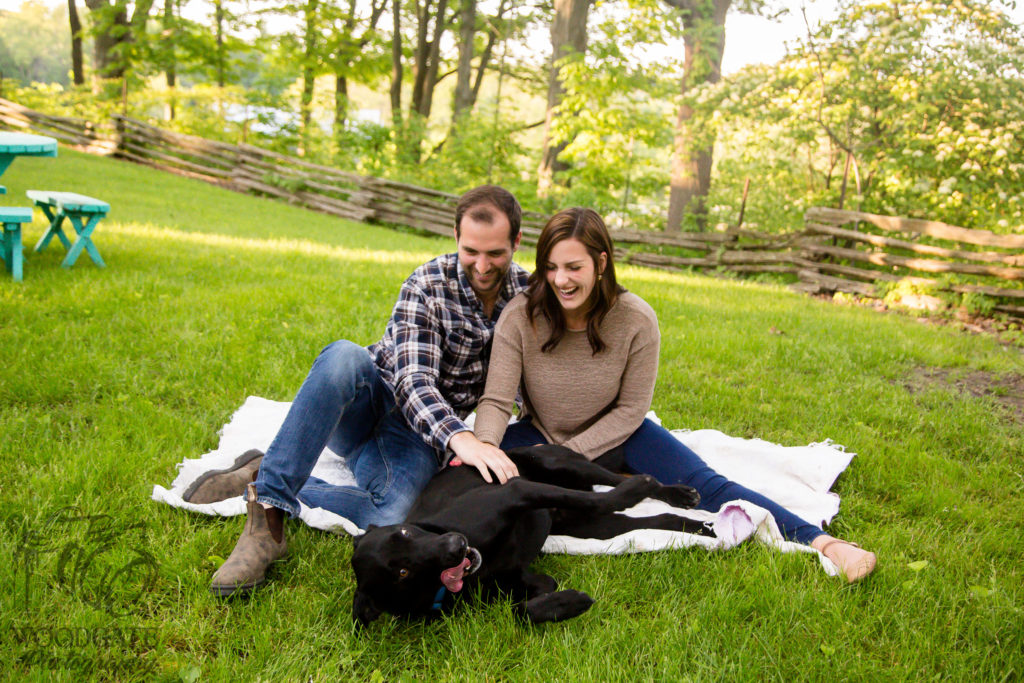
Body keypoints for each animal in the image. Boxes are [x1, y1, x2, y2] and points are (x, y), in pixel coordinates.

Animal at [350, 446, 712, 626]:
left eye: (405, 530)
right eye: (402, 572)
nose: (457, 544)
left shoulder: (514, 491)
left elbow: (602, 496)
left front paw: (638, 489)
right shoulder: (526, 579)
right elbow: (522, 610)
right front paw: (569, 602)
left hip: (560, 464)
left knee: (613, 483)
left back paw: (671, 492)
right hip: (592, 526)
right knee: (653, 519)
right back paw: (699, 526)